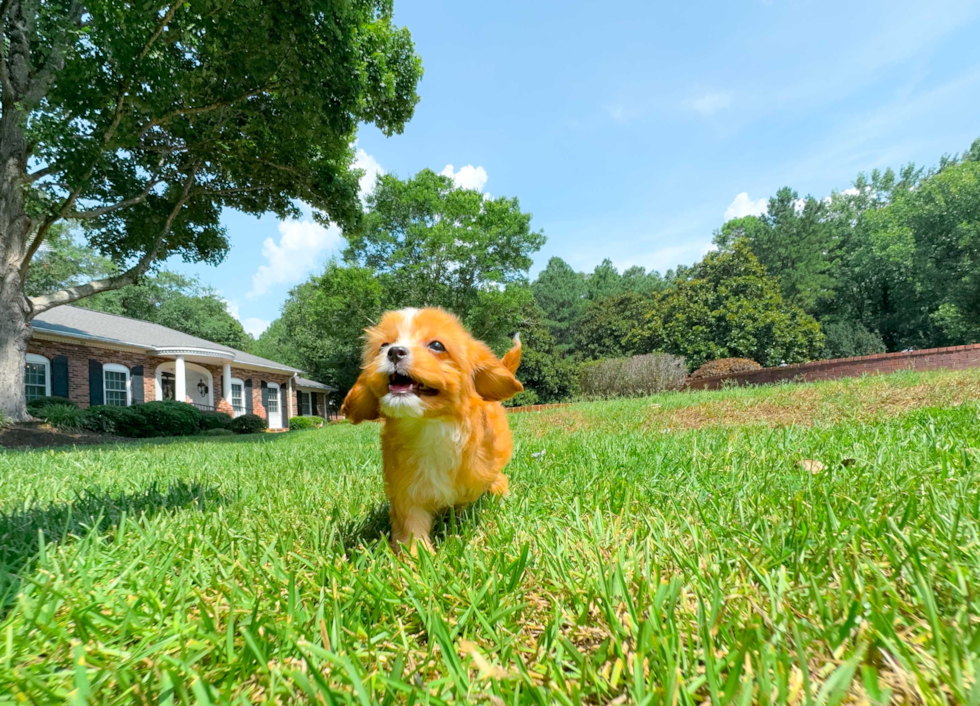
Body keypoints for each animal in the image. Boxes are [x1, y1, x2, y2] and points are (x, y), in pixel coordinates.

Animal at [338, 306, 520, 552]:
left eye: (436, 345)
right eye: (383, 346)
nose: (394, 352)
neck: (430, 426)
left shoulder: (471, 484)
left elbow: (465, 509)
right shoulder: (406, 491)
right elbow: (411, 527)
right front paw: (416, 557)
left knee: (499, 478)